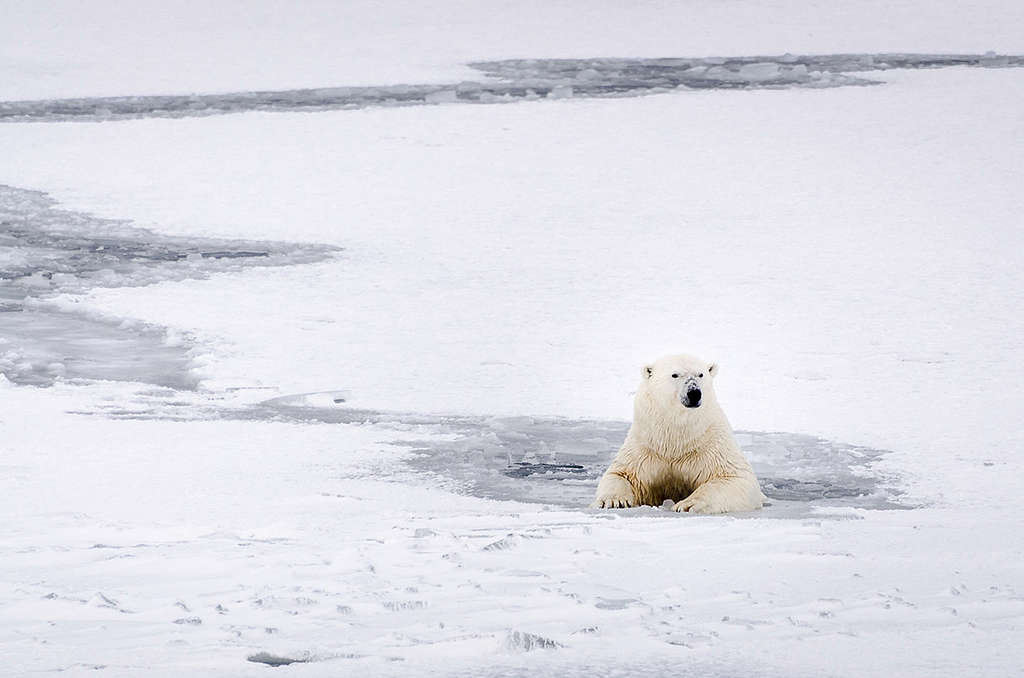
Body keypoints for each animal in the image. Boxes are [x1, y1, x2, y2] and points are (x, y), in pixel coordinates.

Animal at [589, 356, 765, 516]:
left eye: (701, 374)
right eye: (675, 374)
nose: (694, 393)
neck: (677, 440)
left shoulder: (711, 445)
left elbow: (735, 478)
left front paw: (688, 504)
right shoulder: (645, 447)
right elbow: (621, 474)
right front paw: (613, 501)